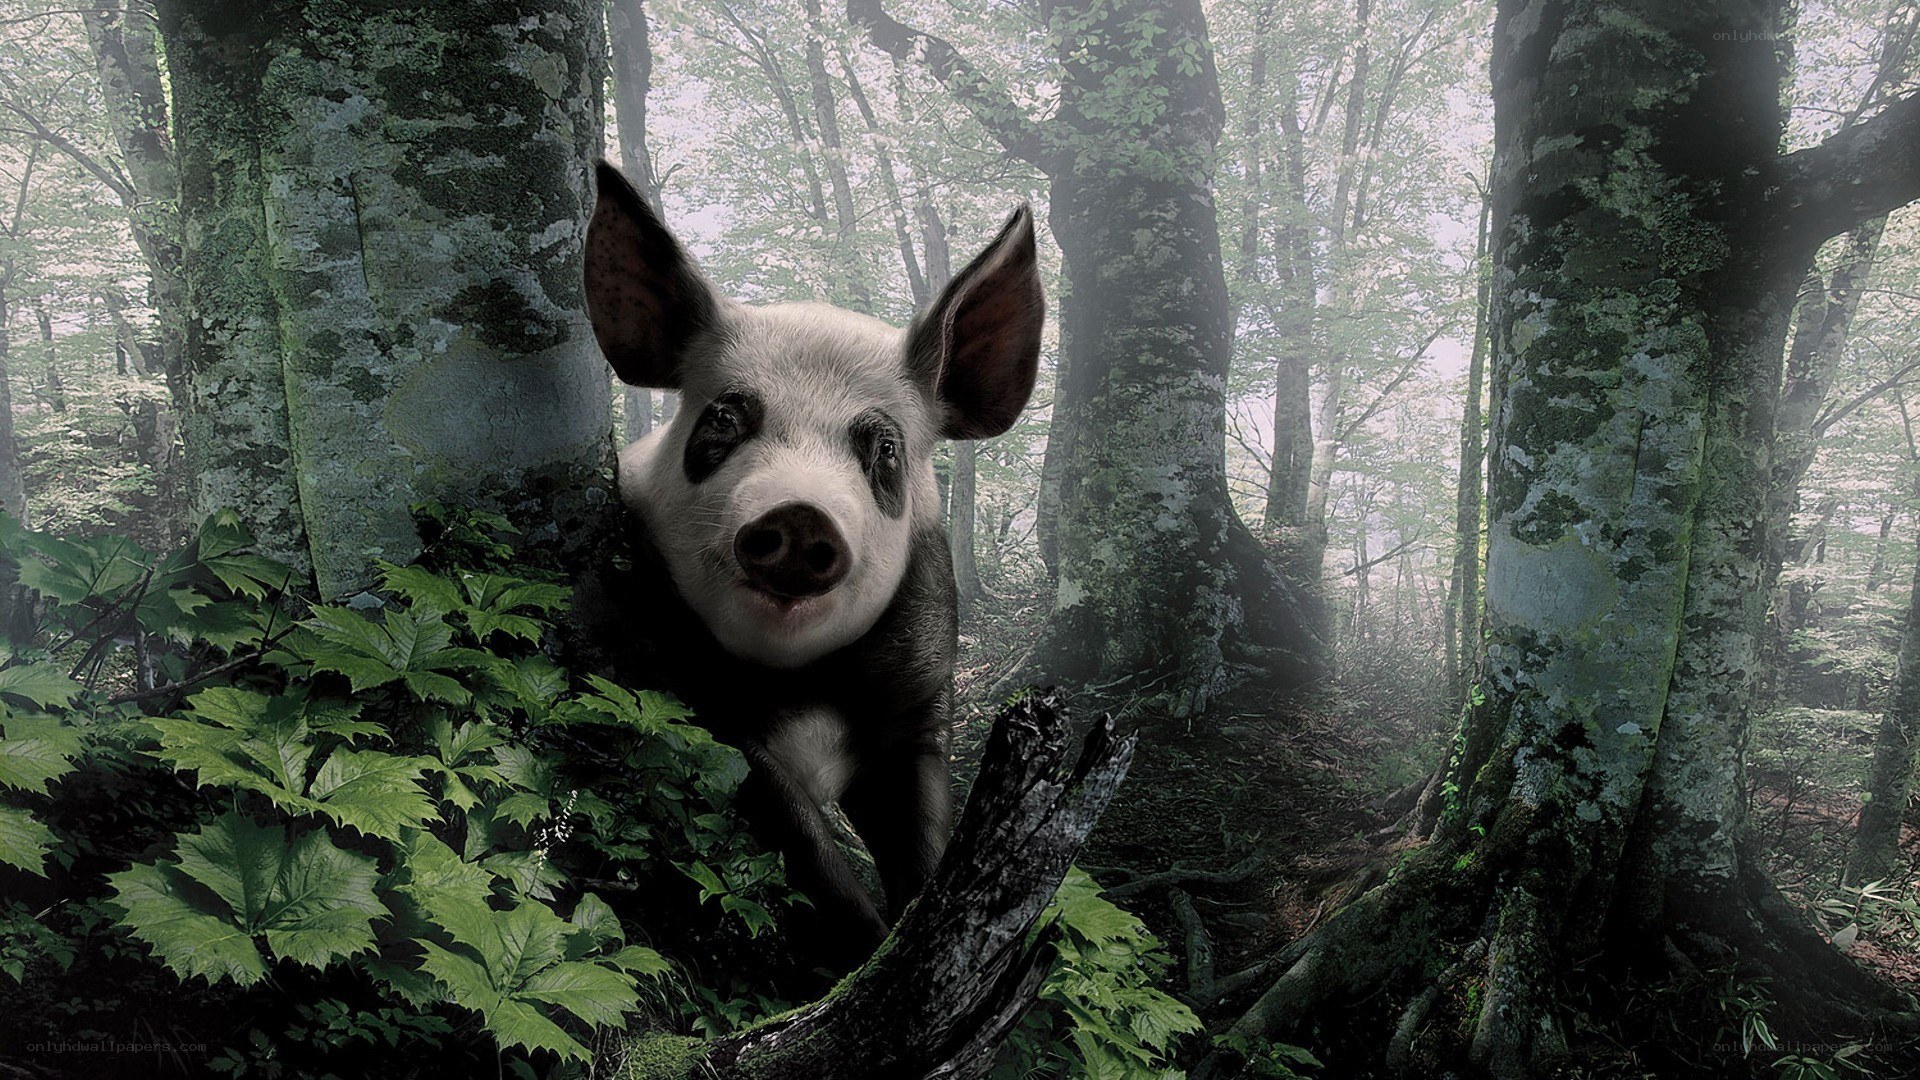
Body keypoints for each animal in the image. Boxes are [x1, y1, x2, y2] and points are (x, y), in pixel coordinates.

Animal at [579, 161, 1043, 967]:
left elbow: (923, 839)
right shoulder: (688, 691)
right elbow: (801, 842)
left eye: (884, 448)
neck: (805, 683)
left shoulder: (921, 702)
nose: (799, 516)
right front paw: (867, 951)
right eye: (725, 419)